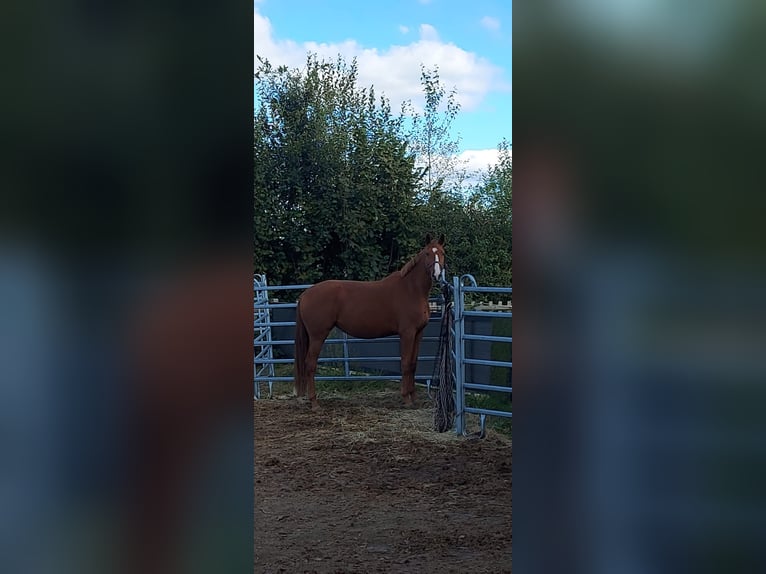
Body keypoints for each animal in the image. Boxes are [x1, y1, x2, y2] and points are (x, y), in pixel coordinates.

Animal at [296, 232, 450, 412]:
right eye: (426, 253)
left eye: (442, 253)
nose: (437, 274)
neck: (411, 289)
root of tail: (305, 294)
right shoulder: (407, 333)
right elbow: (405, 364)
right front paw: (406, 399)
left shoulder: (418, 333)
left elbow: (413, 364)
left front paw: (414, 398)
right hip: (317, 336)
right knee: (310, 364)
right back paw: (314, 402)